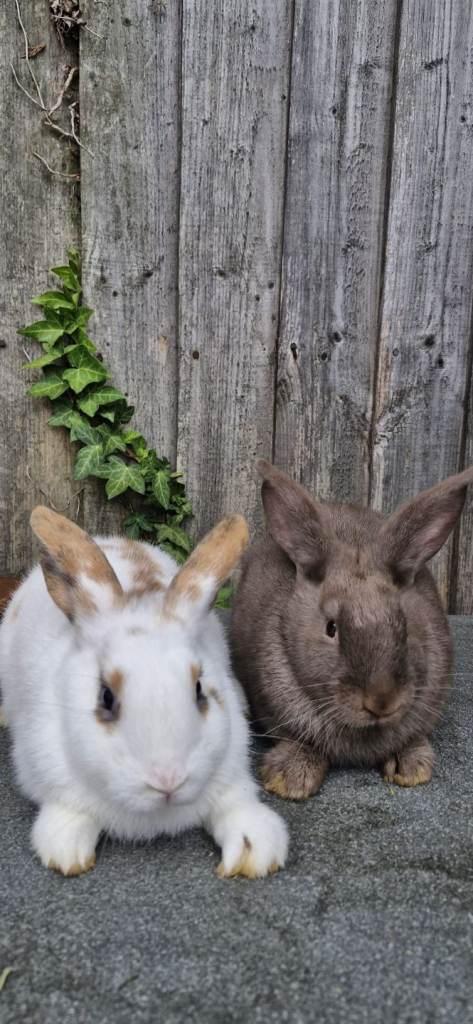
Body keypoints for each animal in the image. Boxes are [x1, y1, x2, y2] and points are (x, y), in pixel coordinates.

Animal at [0, 506, 288, 878]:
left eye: (199, 690)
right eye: (105, 697)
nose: (168, 781)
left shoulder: (232, 770)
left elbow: (236, 805)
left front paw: (254, 850)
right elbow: (69, 814)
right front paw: (67, 853)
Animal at [230, 460, 473, 800]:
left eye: (406, 624)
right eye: (331, 628)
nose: (381, 701)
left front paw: (411, 768)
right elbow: (297, 740)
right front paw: (289, 779)